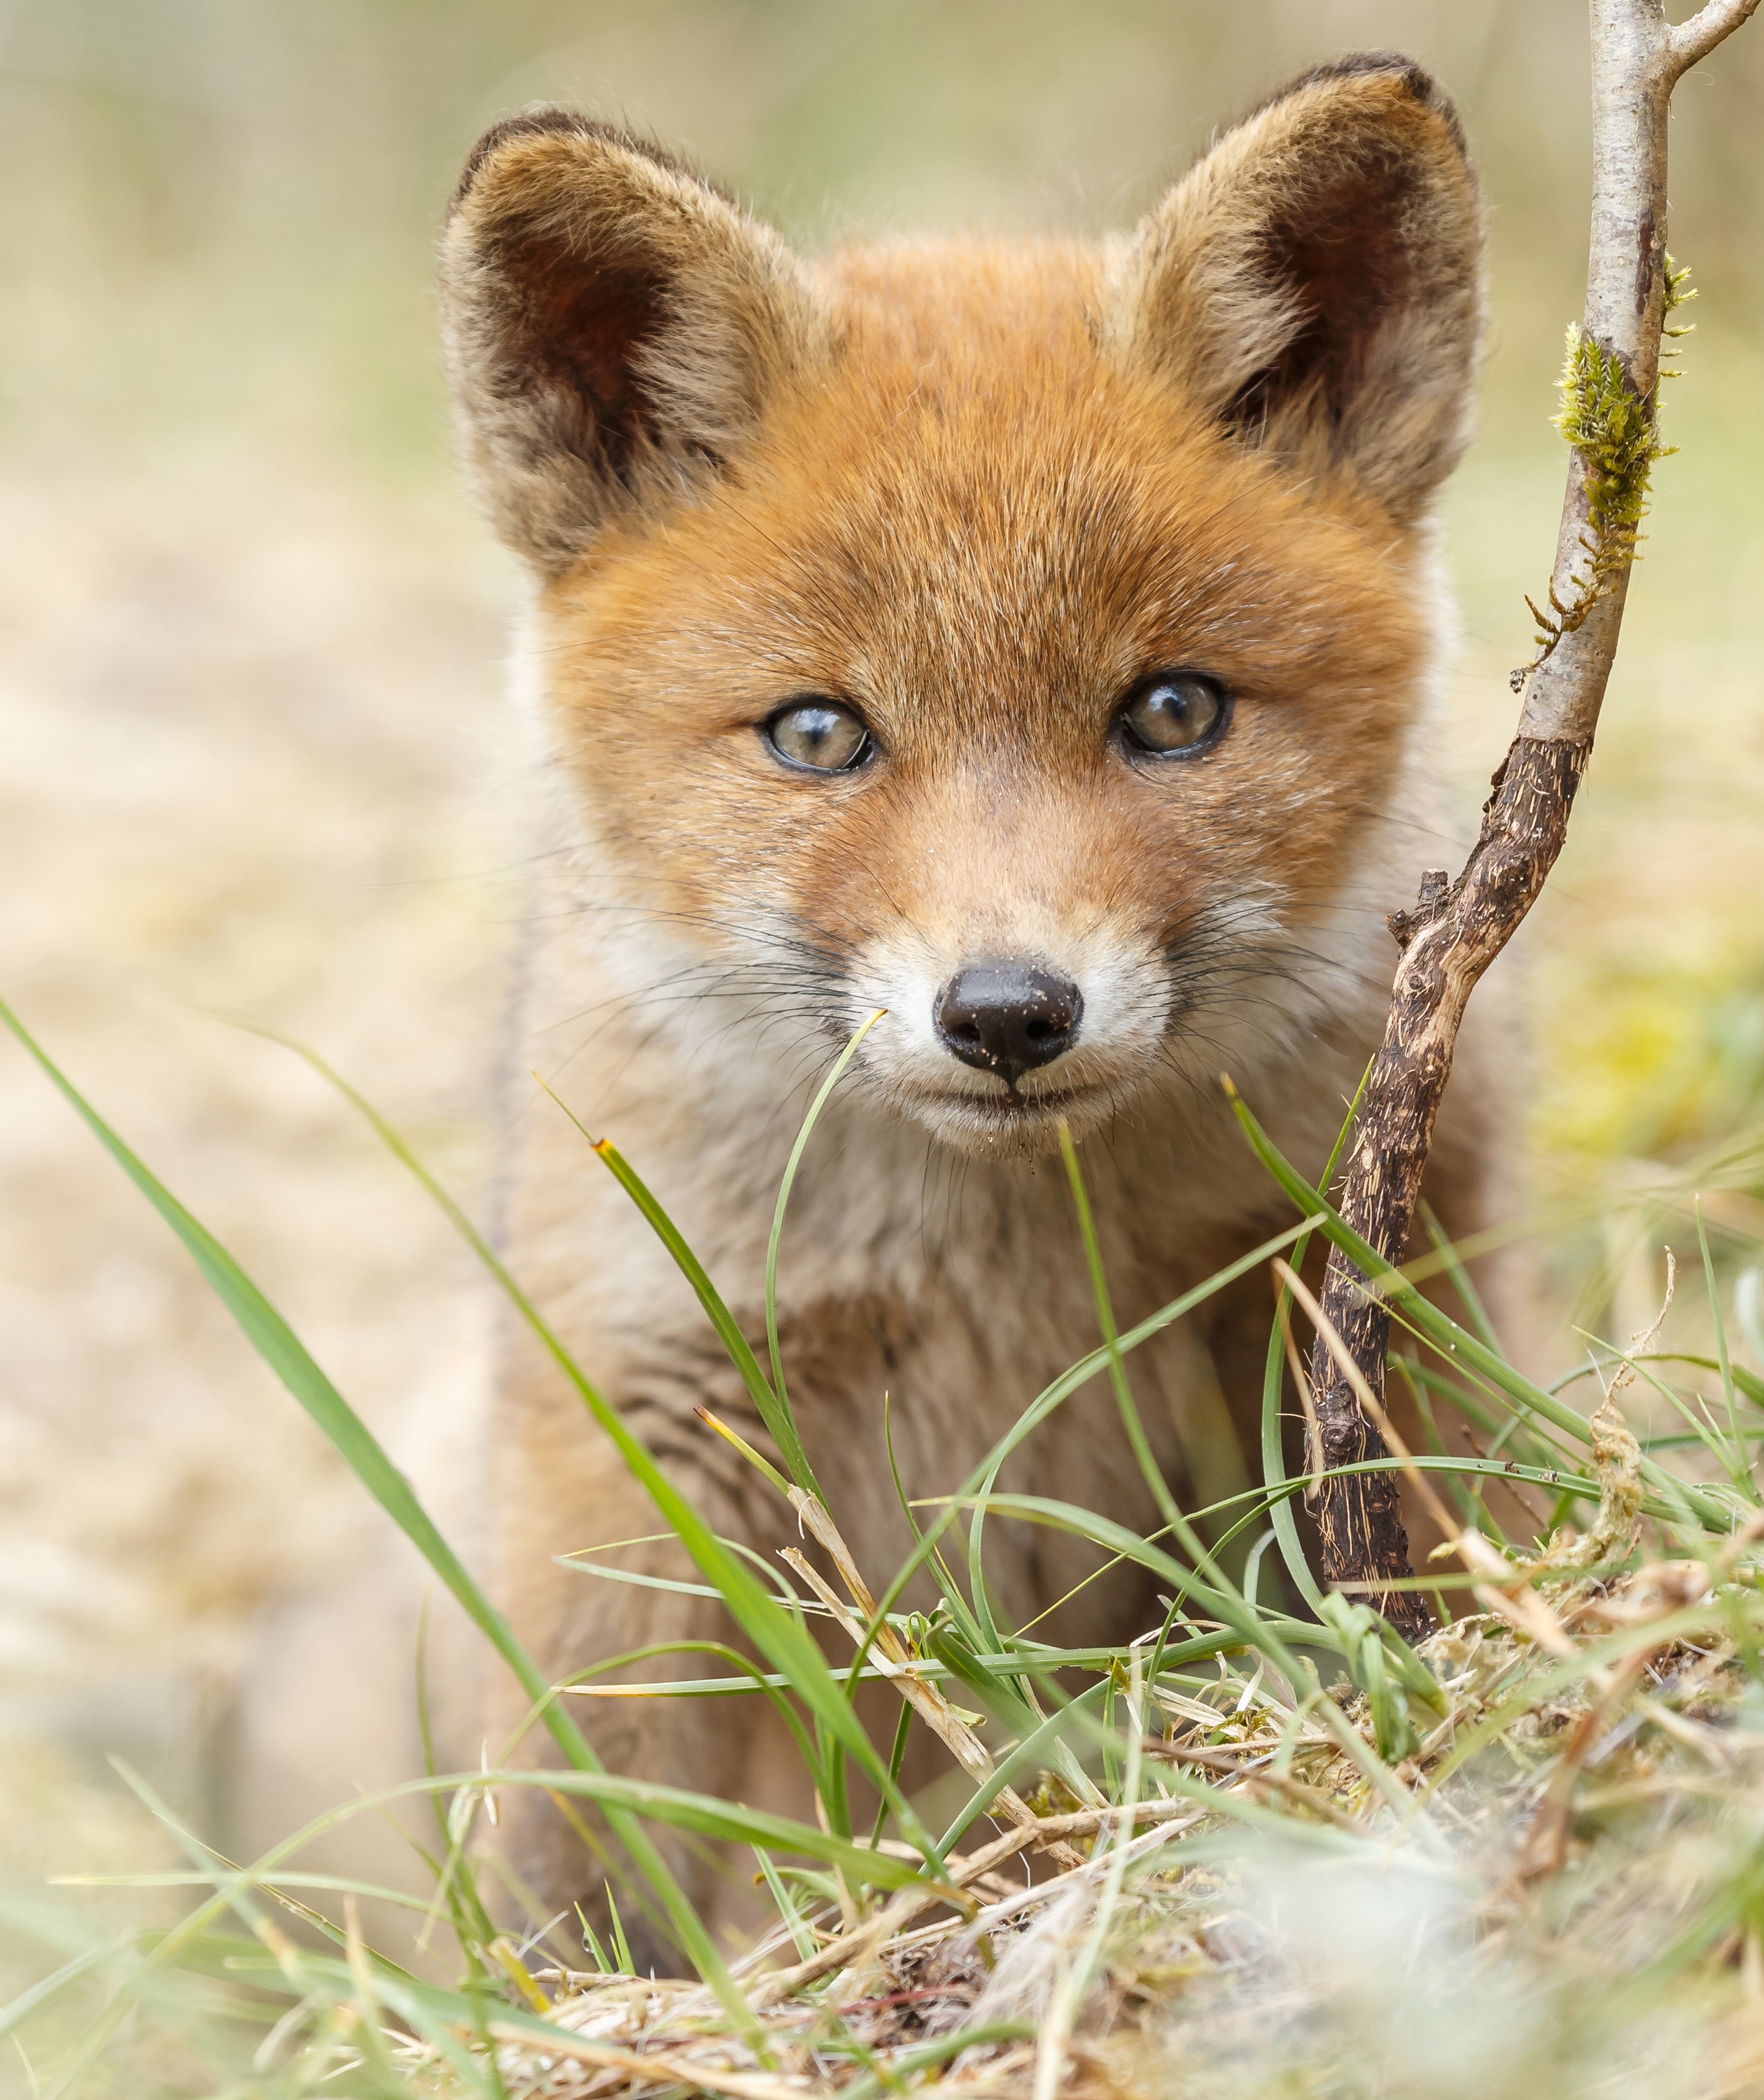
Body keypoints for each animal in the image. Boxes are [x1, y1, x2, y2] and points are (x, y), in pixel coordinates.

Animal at [437, 52, 1507, 1962]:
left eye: (1171, 712)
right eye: (817, 734)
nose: (1010, 1012)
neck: (994, 1268)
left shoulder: (1366, 1279)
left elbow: (1443, 1540)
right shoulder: (638, 1408)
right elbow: (581, 1824)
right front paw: (569, 2000)